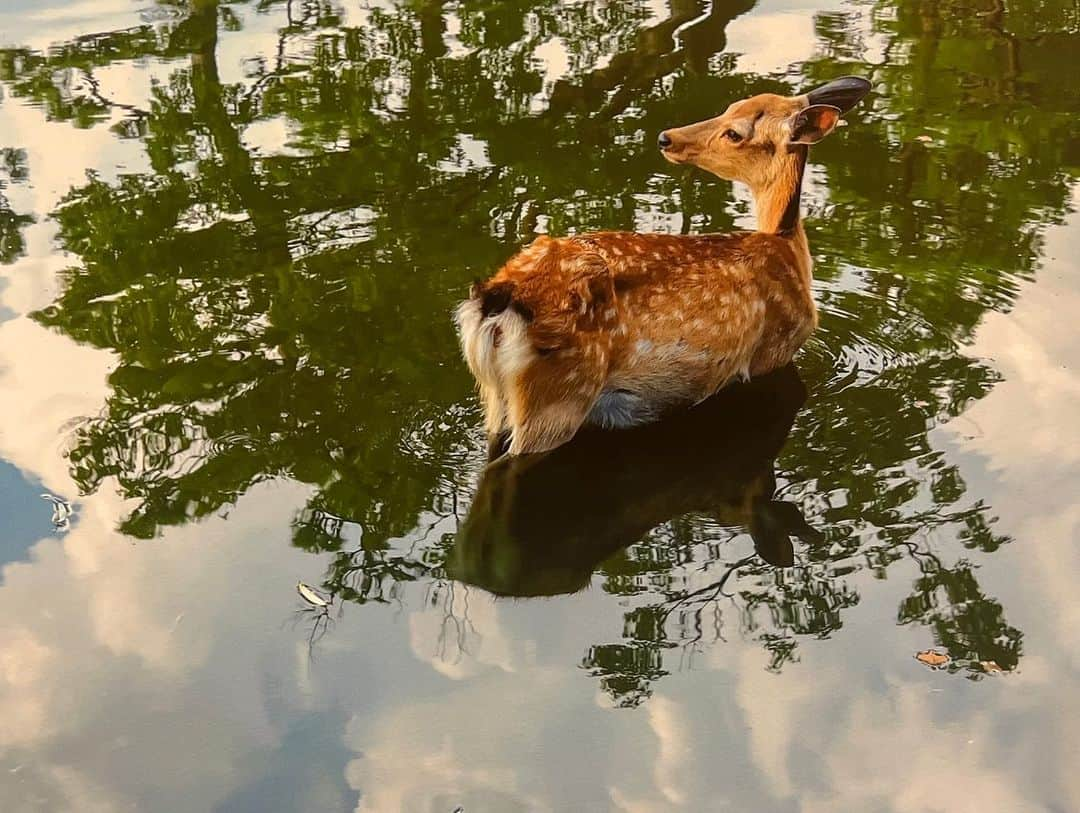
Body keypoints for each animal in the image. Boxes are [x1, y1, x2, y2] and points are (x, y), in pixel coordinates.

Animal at [453, 76, 868, 457]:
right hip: (560, 394)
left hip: (497, 400)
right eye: (730, 108)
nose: (667, 138)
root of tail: (494, 302)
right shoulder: (772, 352)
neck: (788, 249)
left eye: (735, 130)